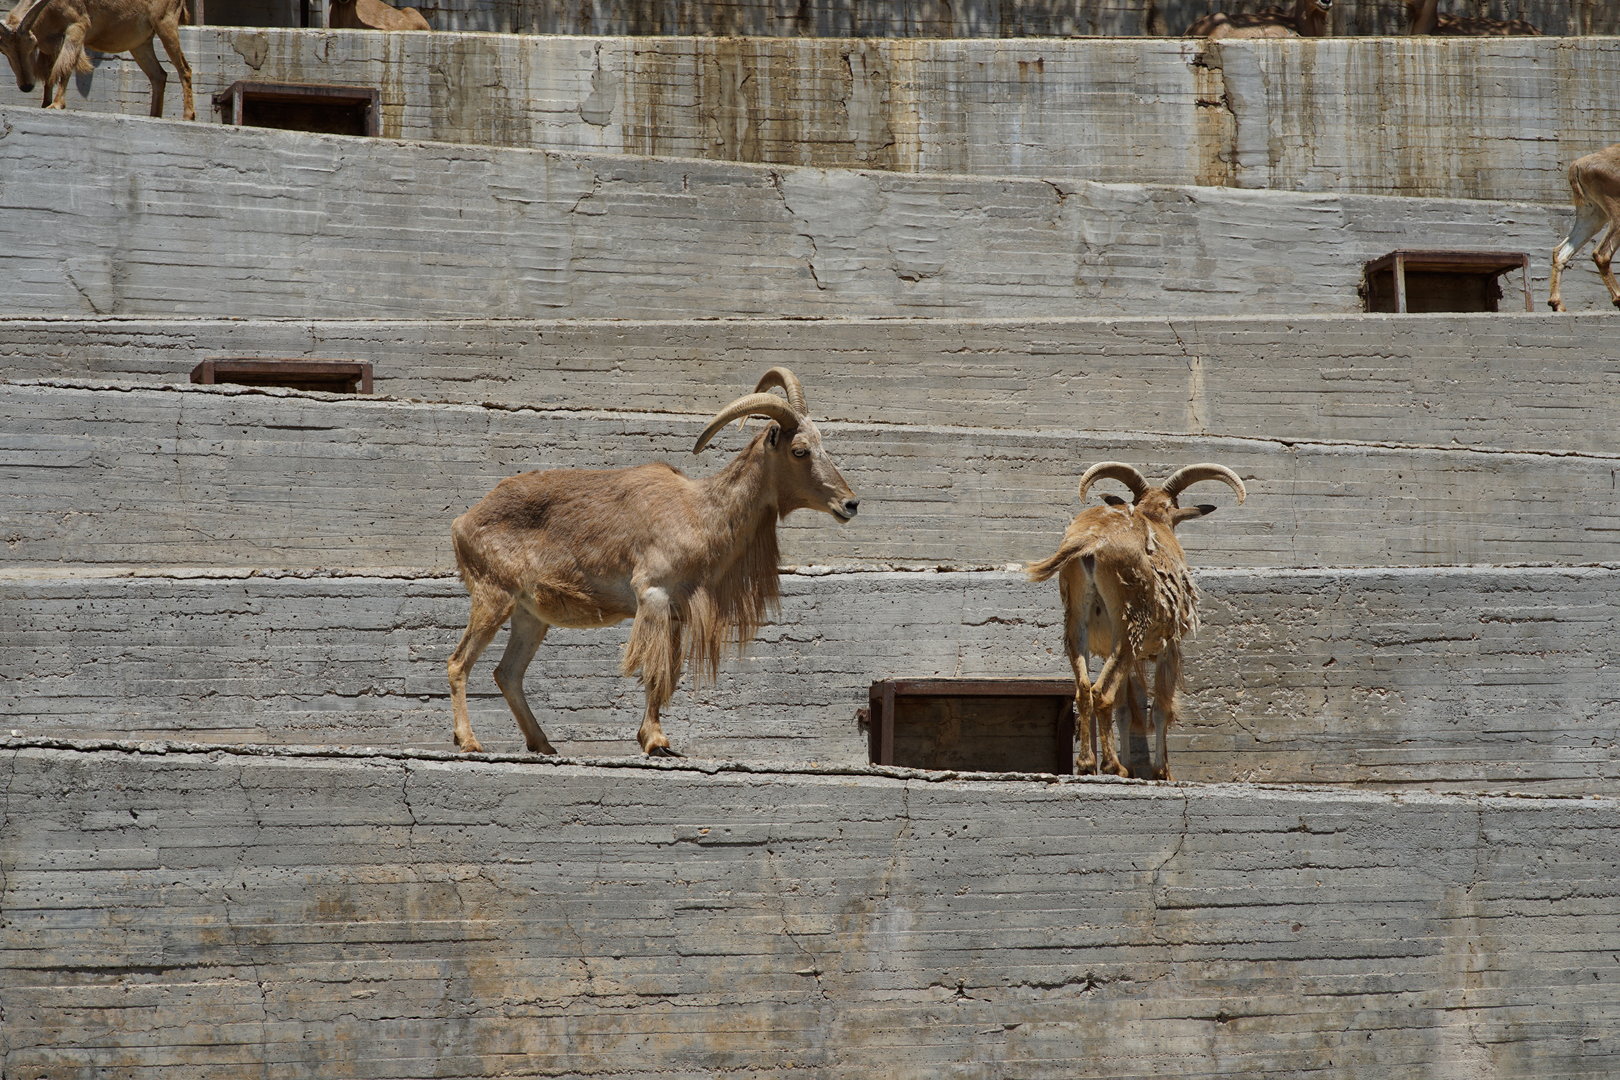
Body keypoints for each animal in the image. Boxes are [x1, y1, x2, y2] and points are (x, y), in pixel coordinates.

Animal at [0, 0, 194, 120]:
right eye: (4, 51)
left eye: (32, 45)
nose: (26, 86)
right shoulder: (50, 46)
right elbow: (49, 76)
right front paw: (45, 103)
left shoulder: (77, 27)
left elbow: (65, 67)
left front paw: (56, 105)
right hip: (140, 43)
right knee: (158, 75)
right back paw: (154, 116)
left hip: (165, 23)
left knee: (184, 69)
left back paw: (187, 116)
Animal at [446, 368, 859, 758]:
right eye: (800, 451)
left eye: (822, 445)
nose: (850, 503)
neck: (701, 512)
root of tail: (462, 521)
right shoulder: (653, 595)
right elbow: (654, 672)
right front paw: (655, 742)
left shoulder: (675, 612)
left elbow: (668, 675)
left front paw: (655, 738)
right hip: (493, 596)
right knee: (459, 662)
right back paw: (469, 742)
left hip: (529, 615)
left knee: (507, 673)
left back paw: (543, 744)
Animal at [1027, 461, 1246, 781]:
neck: (1154, 518)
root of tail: (1092, 541)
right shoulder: (1169, 648)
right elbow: (1160, 708)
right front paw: (1162, 771)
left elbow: (1125, 711)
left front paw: (1131, 764)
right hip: (1131, 625)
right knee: (1101, 693)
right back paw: (1111, 766)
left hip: (1079, 623)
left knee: (1084, 690)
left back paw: (1088, 763)